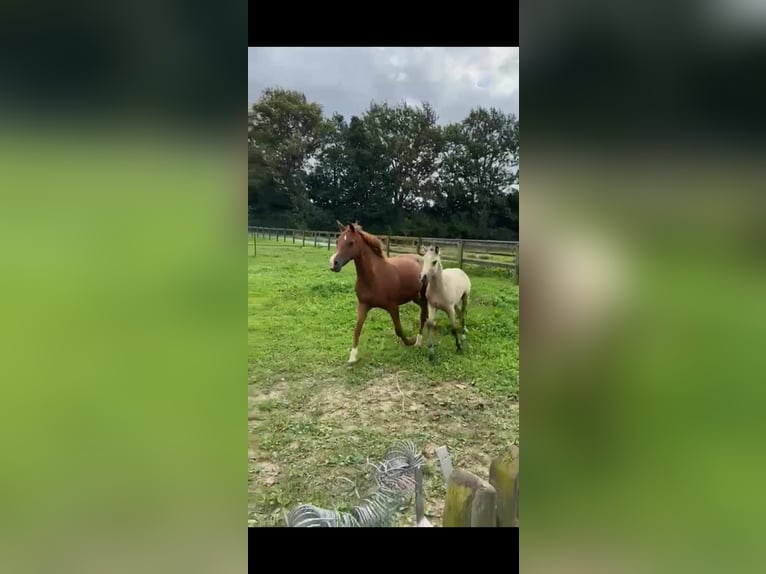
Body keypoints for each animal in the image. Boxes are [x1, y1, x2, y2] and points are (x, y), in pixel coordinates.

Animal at [328, 223, 428, 366]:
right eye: (337, 241)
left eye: (351, 243)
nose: (333, 264)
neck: (374, 277)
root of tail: (420, 257)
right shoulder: (363, 305)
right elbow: (357, 329)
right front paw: (352, 357)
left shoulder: (392, 306)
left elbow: (398, 329)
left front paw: (410, 341)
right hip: (414, 296)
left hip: (423, 293)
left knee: (423, 312)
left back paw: (418, 341)